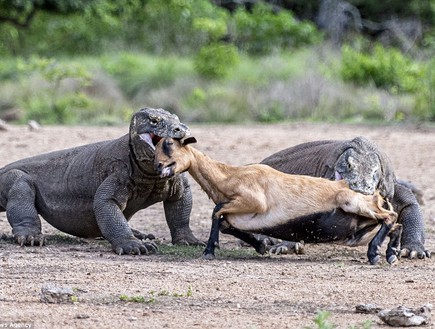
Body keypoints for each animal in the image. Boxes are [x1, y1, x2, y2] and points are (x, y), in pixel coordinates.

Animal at [155, 137, 400, 262]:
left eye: (170, 145)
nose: (158, 166)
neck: (229, 177)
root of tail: (378, 197)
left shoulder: (254, 201)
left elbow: (217, 211)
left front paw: (209, 250)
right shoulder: (240, 215)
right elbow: (224, 222)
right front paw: (261, 245)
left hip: (354, 203)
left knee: (391, 217)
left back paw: (376, 254)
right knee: (394, 224)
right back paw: (391, 253)